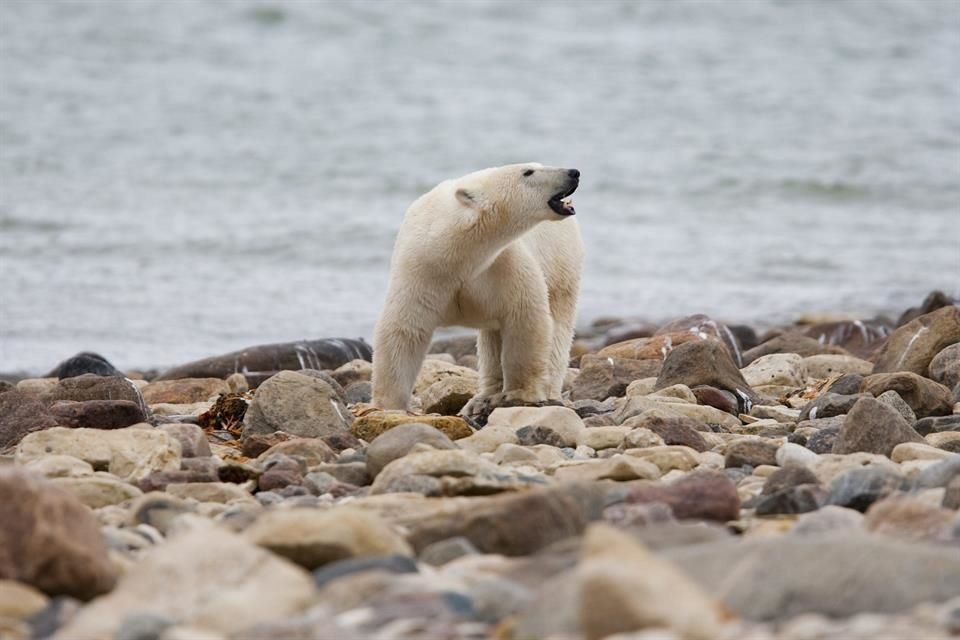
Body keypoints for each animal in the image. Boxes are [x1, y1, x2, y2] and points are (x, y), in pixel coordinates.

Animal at [370, 162, 580, 412]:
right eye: (528, 172)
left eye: (536, 165)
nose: (573, 172)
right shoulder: (421, 271)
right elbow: (404, 330)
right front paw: (388, 404)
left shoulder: (502, 265)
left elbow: (525, 318)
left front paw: (520, 393)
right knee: (492, 339)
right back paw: (483, 397)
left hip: (561, 265)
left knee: (558, 327)